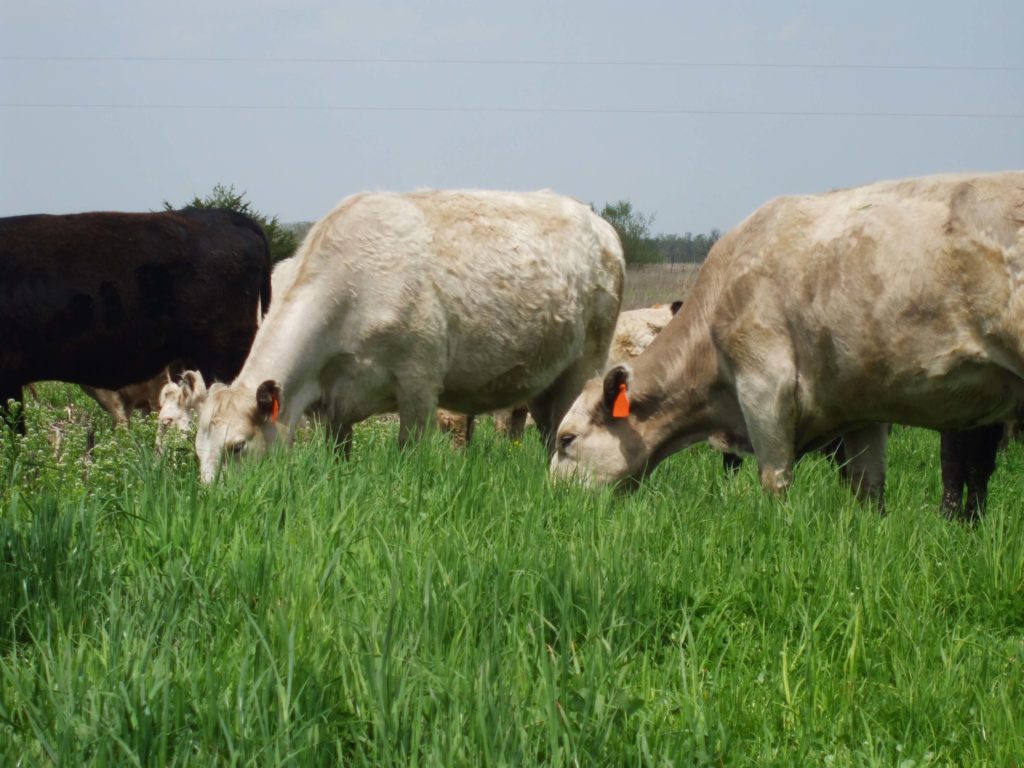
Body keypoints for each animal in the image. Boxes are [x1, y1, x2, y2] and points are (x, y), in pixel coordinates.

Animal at [192, 189, 622, 483]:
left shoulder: (419, 383)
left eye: (237, 447)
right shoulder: (336, 404)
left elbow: (408, 454)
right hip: (544, 379)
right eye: (197, 449)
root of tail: (599, 225)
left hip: (585, 363)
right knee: (550, 432)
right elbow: (339, 455)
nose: (214, 501)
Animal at [557, 171, 1024, 514]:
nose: (556, 503)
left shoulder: (765, 388)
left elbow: (774, 480)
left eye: (566, 440)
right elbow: (869, 490)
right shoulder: (864, 410)